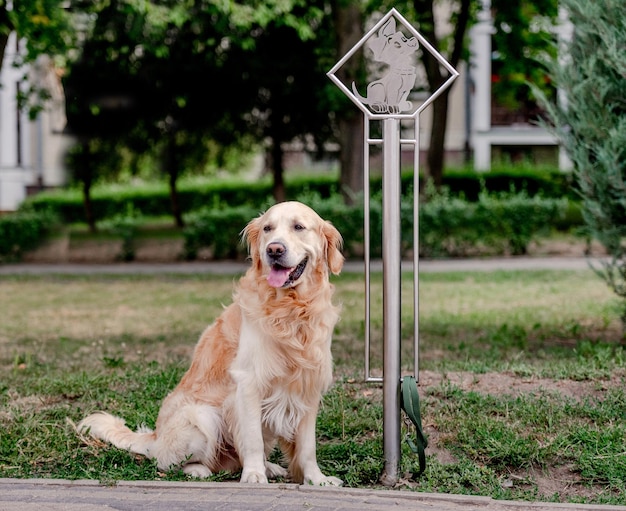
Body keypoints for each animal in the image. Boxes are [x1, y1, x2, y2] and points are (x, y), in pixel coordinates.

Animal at [77, 202, 344, 486]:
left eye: (299, 227)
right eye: (267, 229)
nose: (274, 249)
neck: (291, 310)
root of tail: (156, 438)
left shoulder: (308, 385)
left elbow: (307, 446)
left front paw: (316, 479)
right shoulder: (249, 382)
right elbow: (252, 440)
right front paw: (254, 476)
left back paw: (269, 467)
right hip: (202, 416)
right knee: (168, 463)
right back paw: (199, 470)